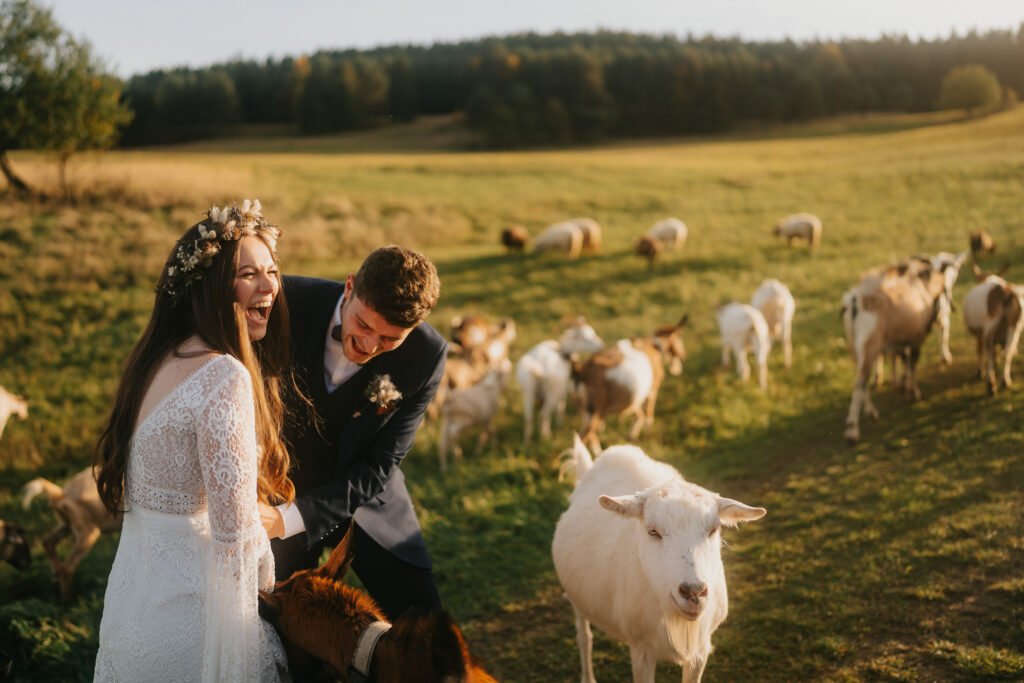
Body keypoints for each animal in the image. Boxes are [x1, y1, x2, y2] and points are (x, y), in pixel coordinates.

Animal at [552, 438, 770, 683]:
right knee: (584, 637)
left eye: (714, 529)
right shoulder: (641, 650)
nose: (693, 592)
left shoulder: (700, 650)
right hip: (576, 599)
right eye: (653, 531)